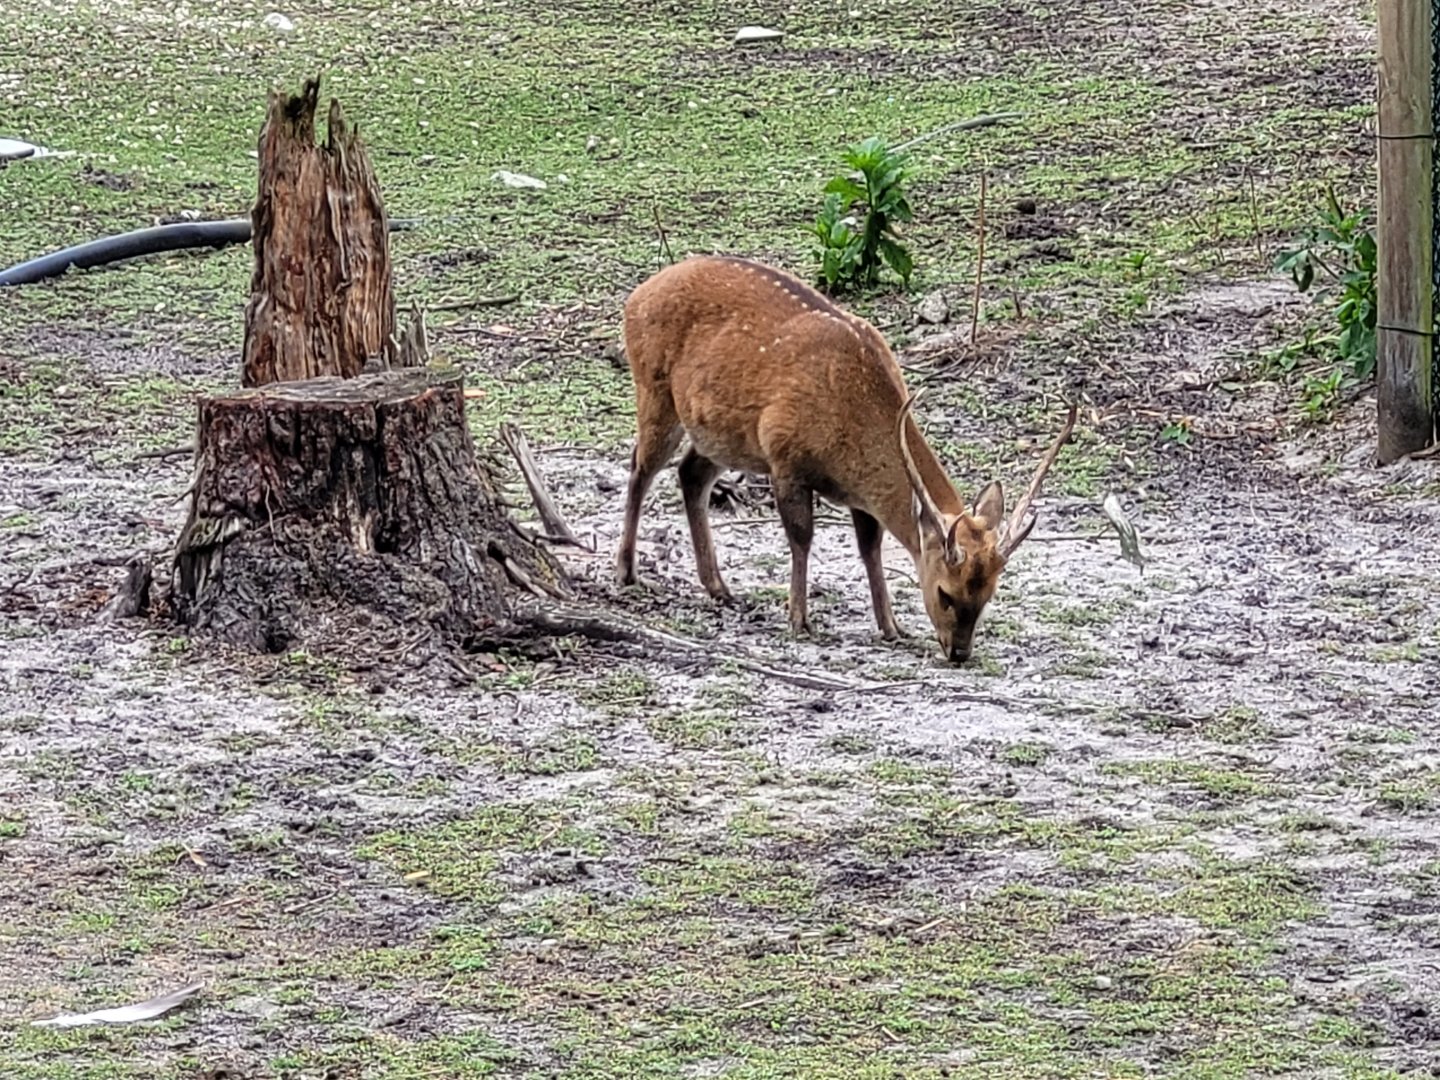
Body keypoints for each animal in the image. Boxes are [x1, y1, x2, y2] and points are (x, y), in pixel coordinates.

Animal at [613, 254, 1077, 664]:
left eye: (988, 594)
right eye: (946, 592)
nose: (959, 652)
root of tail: (636, 295)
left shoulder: (860, 497)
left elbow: (870, 549)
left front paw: (891, 626)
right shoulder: (785, 458)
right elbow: (802, 538)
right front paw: (799, 620)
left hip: (721, 434)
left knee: (691, 473)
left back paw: (718, 587)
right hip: (655, 391)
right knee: (640, 468)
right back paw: (626, 571)